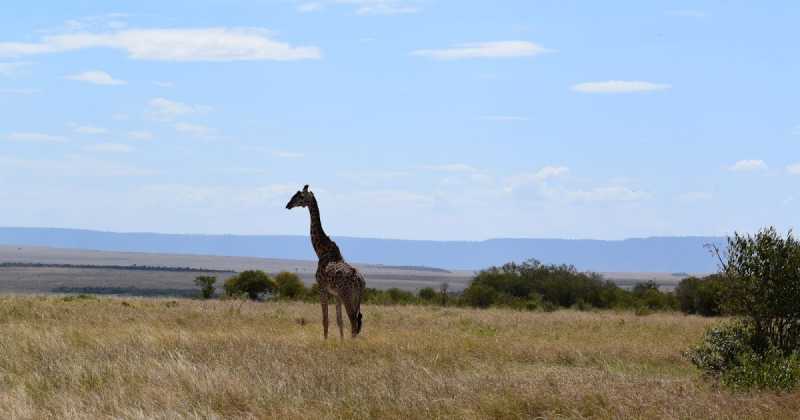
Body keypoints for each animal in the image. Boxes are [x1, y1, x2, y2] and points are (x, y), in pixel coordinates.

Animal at [286, 185, 365, 339]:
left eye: (300, 196)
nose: (288, 205)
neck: (321, 251)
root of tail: (360, 282)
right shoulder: (336, 294)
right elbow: (339, 320)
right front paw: (341, 341)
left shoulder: (322, 288)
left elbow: (325, 319)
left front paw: (325, 340)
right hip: (356, 298)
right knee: (356, 322)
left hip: (348, 296)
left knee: (353, 322)